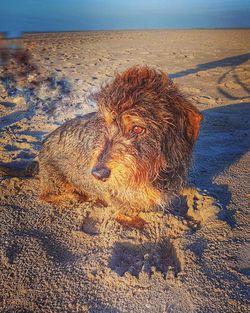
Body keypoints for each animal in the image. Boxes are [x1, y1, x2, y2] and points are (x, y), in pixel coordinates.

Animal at [39, 66, 203, 227]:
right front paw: (135, 220)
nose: (98, 174)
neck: (151, 171)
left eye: (137, 129)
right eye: (105, 123)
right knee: (44, 195)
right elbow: (126, 210)